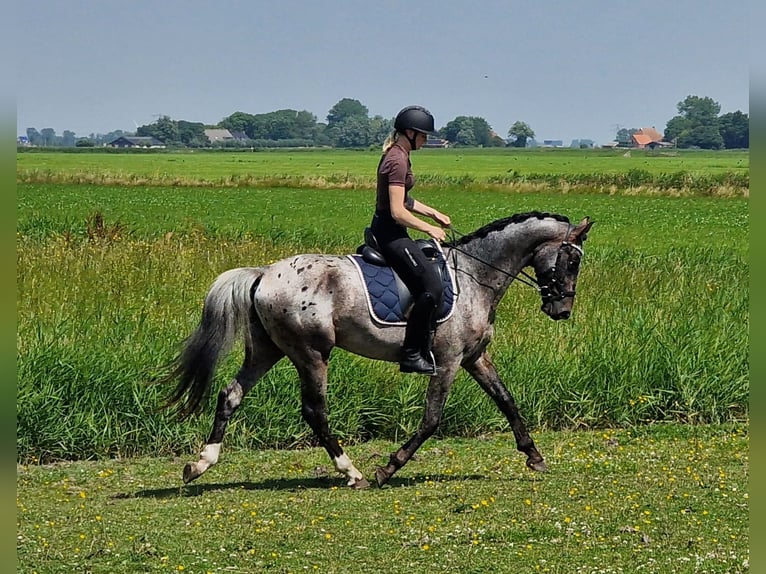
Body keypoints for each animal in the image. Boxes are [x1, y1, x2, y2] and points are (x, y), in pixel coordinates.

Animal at [165, 212, 596, 490]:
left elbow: (506, 400)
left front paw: (534, 456)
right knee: (314, 411)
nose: (562, 310)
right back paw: (352, 472)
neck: (477, 275)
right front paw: (389, 468)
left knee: (230, 395)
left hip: (268, 350)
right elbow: (432, 419)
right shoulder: (448, 361)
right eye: (572, 259)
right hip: (311, 353)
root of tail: (263, 274)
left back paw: (200, 465)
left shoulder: (474, 358)